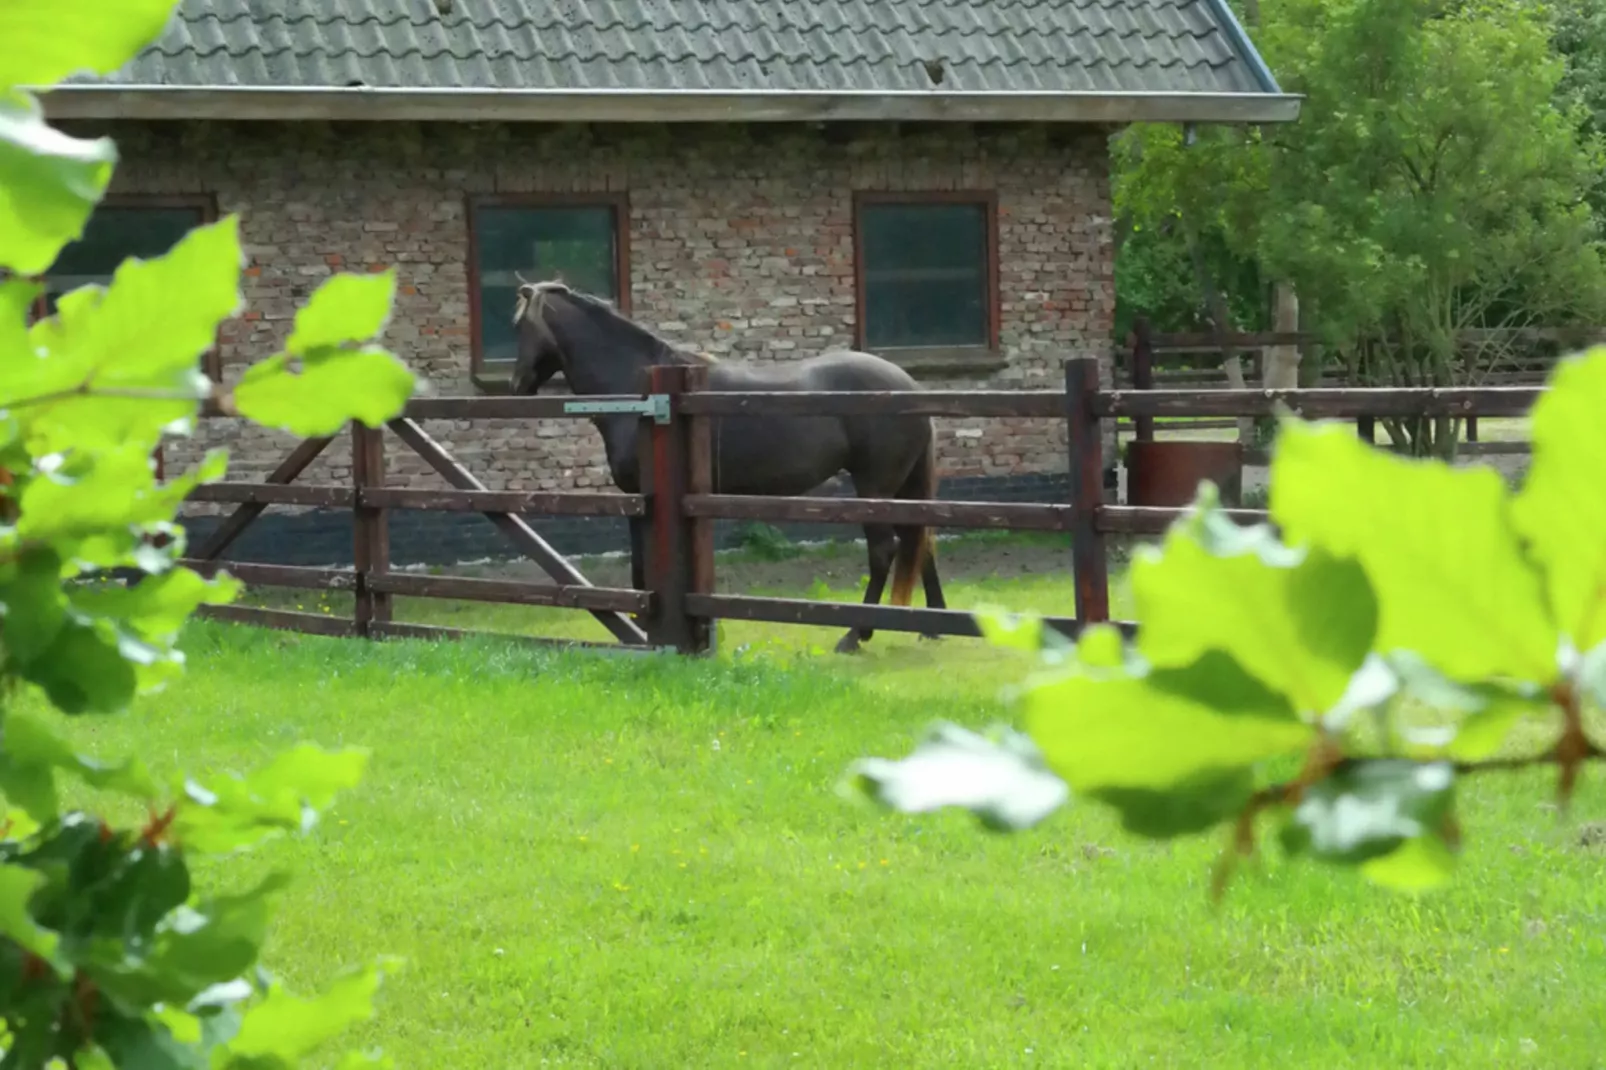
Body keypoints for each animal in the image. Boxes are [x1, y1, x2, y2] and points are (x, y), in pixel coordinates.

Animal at [507, 276, 944, 649]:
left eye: (519, 327)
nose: (516, 386)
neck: (639, 386)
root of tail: (908, 386)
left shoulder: (640, 501)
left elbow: (642, 571)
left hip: (875, 488)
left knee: (885, 549)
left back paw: (856, 635)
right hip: (902, 489)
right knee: (920, 542)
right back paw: (934, 626)